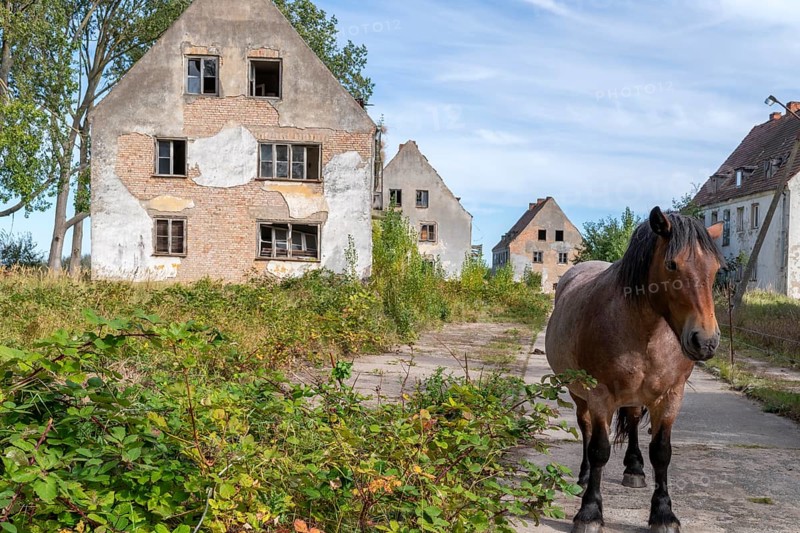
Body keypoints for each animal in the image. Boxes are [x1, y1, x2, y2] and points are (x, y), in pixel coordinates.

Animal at [545, 207, 724, 533]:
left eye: (716, 267)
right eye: (671, 264)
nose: (705, 341)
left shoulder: (670, 396)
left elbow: (661, 453)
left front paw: (663, 514)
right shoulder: (599, 395)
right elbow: (599, 449)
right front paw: (589, 512)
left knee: (632, 420)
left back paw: (634, 468)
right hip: (580, 395)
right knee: (586, 429)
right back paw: (585, 476)